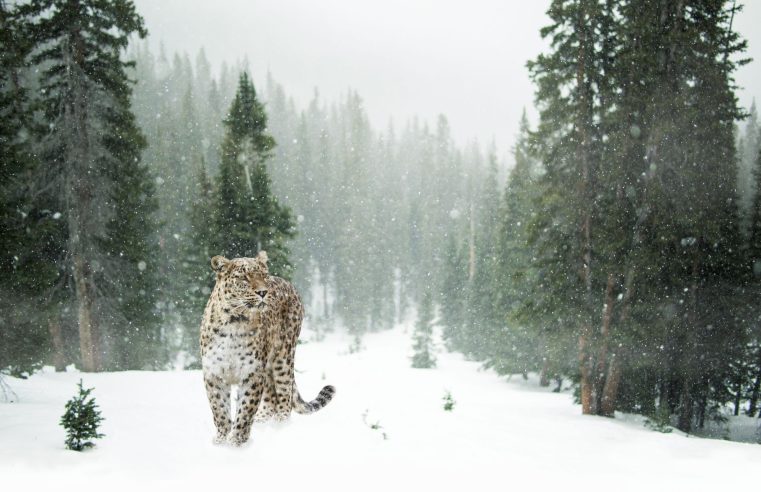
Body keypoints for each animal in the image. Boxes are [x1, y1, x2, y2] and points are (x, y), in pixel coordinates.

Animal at [200, 251, 335, 446]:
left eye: (263, 275)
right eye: (244, 277)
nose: (263, 292)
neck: (234, 322)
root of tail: (288, 284)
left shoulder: (252, 373)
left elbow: (246, 409)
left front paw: (237, 442)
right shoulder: (214, 373)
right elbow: (219, 409)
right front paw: (221, 440)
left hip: (283, 357)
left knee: (285, 395)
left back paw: (280, 426)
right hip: (269, 366)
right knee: (271, 397)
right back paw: (263, 421)